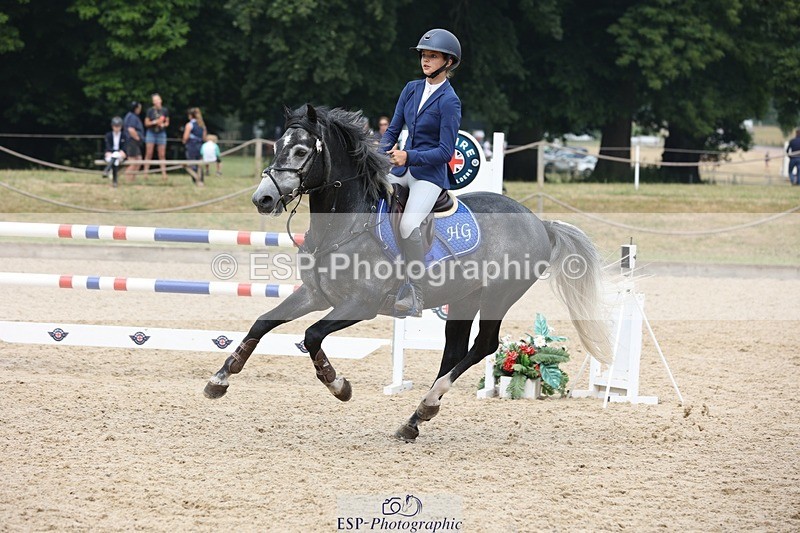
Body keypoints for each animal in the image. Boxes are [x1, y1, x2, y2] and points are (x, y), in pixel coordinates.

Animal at [204, 104, 610, 442]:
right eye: (276, 146)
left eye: (302, 151)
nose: (263, 199)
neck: (344, 223)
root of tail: (540, 223)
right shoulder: (316, 295)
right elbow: (263, 322)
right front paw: (220, 378)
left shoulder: (360, 305)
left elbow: (312, 335)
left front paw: (338, 385)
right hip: (463, 297)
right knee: (455, 350)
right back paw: (414, 420)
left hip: (498, 295)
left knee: (484, 346)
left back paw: (426, 406)